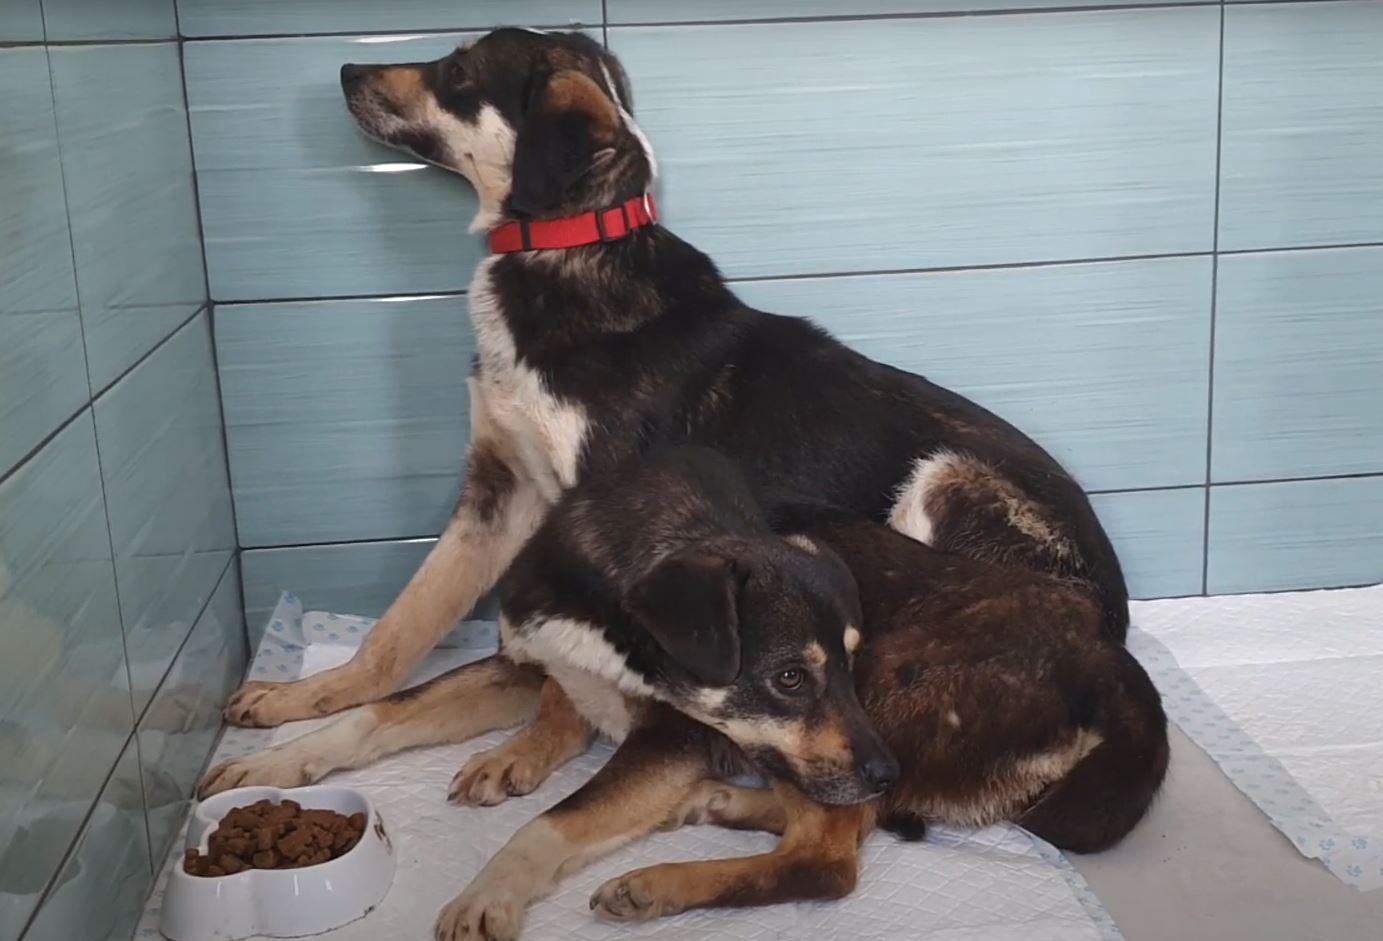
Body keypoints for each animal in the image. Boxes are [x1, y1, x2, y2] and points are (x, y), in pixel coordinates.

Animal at [200, 448, 1161, 941]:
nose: (887, 770)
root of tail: (1102, 655)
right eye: (789, 675)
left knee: (827, 858)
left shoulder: (671, 736)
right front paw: (278, 745)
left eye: (833, 668)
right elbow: (379, 712)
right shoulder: (524, 663)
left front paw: (487, 894)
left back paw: (660, 882)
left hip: (897, 695)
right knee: (818, 821)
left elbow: (548, 823)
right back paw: (721, 805)